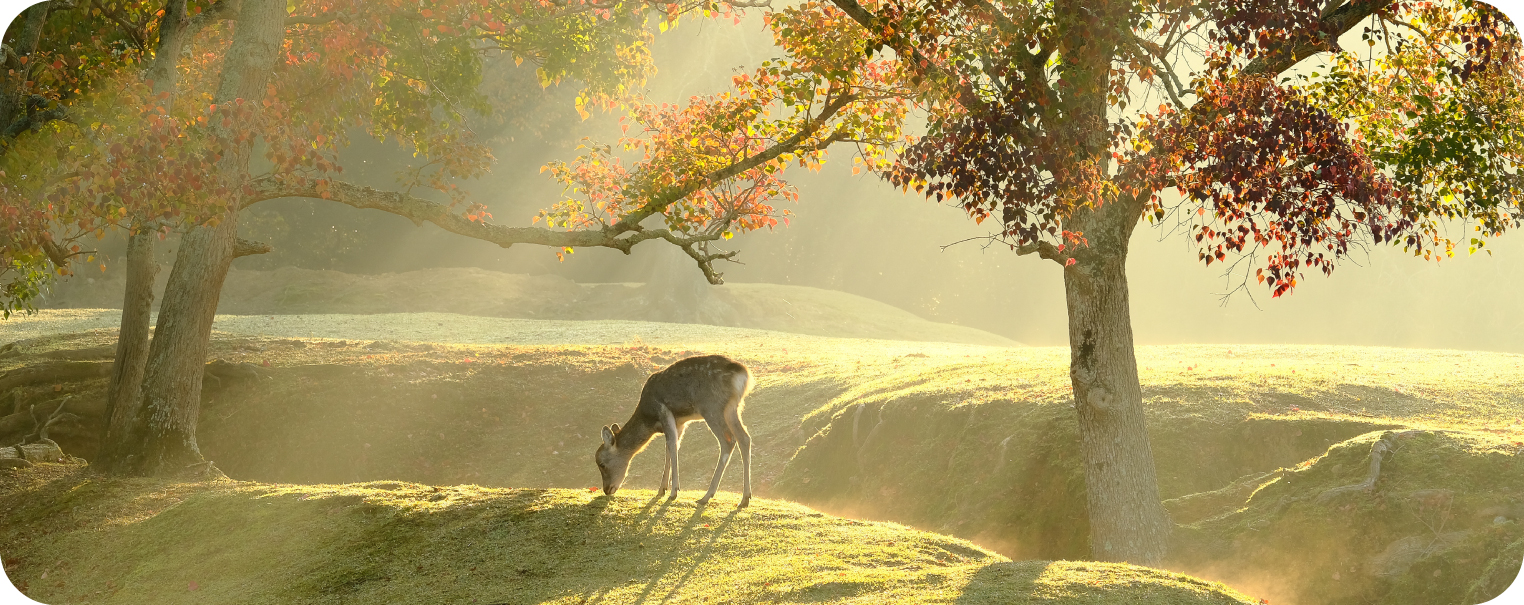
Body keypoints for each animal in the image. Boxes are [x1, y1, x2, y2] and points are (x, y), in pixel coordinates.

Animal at [595, 354, 754, 507]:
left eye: (602, 464)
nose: (607, 489)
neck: (649, 418)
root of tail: (744, 374)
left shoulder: (664, 411)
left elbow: (671, 446)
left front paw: (673, 491)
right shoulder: (680, 422)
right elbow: (670, 448)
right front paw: (662, 489)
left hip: (711, 407)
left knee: (728, 440)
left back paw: (707, 496)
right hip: (733, 408)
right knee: (744, 438)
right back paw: (745, 498)